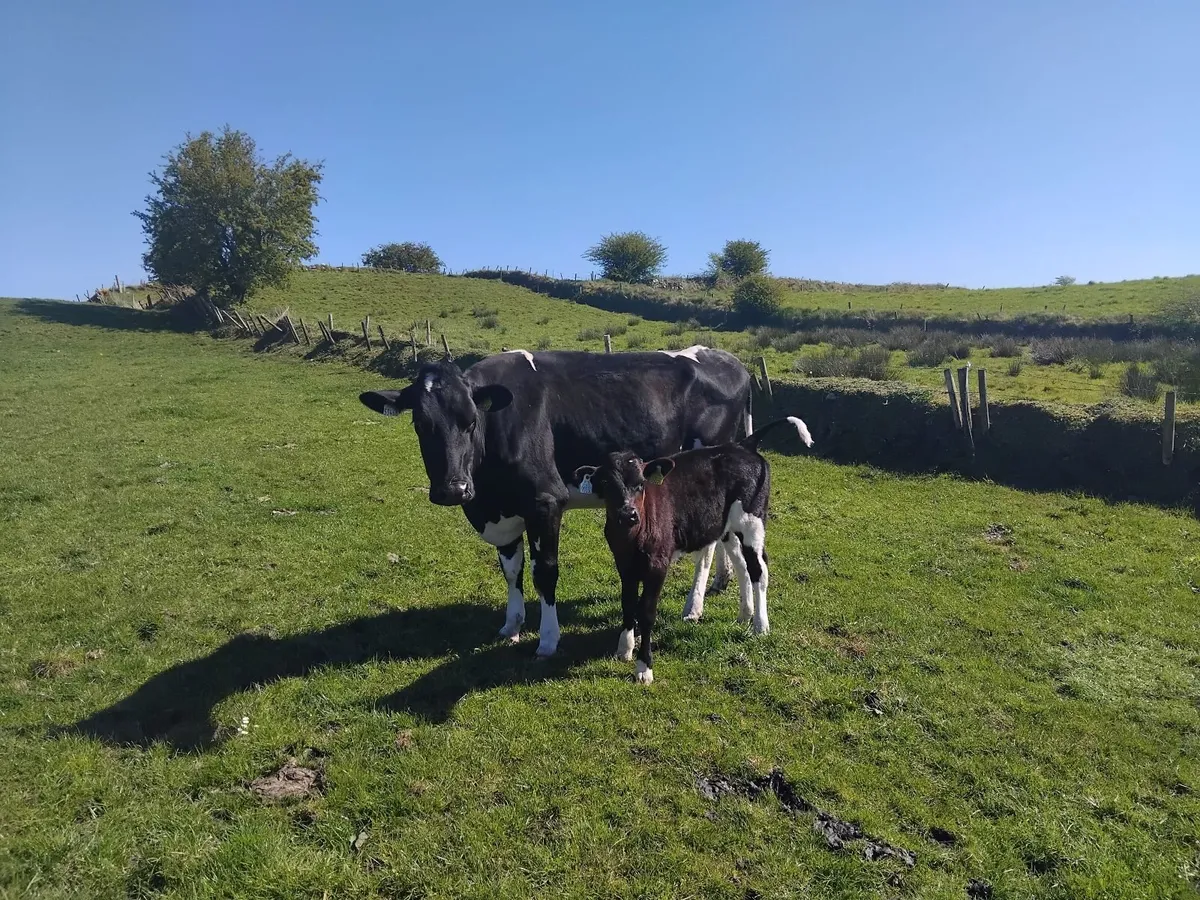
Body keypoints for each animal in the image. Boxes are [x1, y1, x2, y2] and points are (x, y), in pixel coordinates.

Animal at [358, 346, 752, 657]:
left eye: (470, 422)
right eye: (420, 425)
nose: (454, 489)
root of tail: (731, 361)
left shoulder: (545, 502)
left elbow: (544, 573)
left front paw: (548, 640)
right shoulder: (504, 513)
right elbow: (511, 570)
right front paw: (512, 625)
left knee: (707, 546)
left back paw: (693, 606)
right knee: (728, 538)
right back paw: (726, 585)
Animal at [570, 416, 814, 683]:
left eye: (641, 484)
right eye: (605, 483)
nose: (628, 514)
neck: (632, 537)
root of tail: (743, 445)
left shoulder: (658, 563)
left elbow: (646, 611)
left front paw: (644, 668)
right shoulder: (623, 562)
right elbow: (627, 603)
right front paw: (624, 648)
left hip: (753, 521)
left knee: (759, 570)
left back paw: (760, 625)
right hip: (726, 527)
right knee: (742, 566)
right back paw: (744, 614)